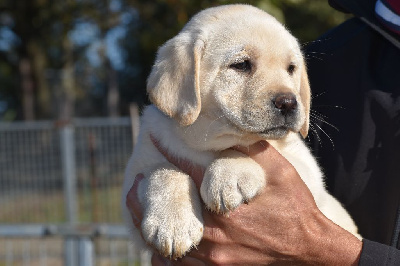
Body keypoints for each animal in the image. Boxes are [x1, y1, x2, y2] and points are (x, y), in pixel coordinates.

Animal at [121, 3, 360, 258]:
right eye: (241, 65)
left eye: (291, 69)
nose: (289, 103)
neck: (209, 143)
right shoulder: (131, 189)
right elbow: (161, 170)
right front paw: (172, 223)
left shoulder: (309, 175)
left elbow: (244, 148)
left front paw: (229, 174)